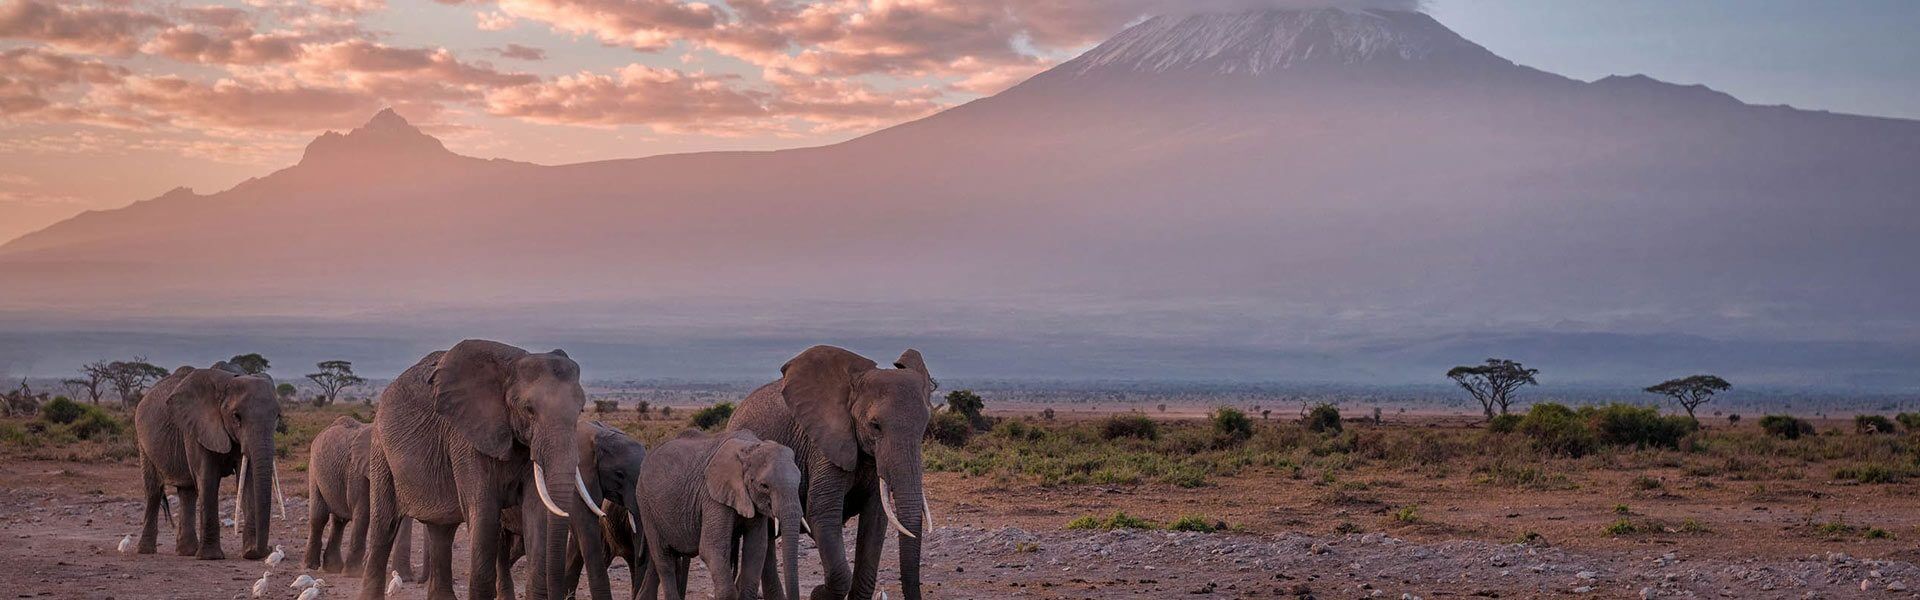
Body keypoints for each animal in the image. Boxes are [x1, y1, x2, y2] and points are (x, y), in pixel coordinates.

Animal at [134, 363, 280, 561]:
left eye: (277, 417)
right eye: (237, 416)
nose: (266, 550)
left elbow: (247, 481)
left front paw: (250, 553)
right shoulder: (197, 428)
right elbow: (208, 479)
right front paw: (211, 557)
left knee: (187, 492)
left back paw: (187, 552)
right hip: (143, 441)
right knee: (154, 491)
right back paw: (146, 551)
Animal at [303, 415, 416, 580]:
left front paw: (404, 577)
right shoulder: (359, 472)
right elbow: (363, 513)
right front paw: (353, 574)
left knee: (339, 522)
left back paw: (333, 568)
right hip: (314, 470)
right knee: (319, 517)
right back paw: (310, 566)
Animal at [357, 340, 602, 600]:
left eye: (581, 410)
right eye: (529, 409)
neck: (512, 365)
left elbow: (536, 510)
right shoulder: (467, 439)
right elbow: (484, 510)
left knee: (442, 531)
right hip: (380, 449)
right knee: (384, 526)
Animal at [637, 430, 802, 600]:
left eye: (799, 481)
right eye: (764, 486)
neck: (749, 447)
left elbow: (756, 547)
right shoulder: (712, 496)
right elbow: (711, 547)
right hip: (645, 504)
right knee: (664, 559)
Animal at [725, 346, 936, 600]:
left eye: (925, 426)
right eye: (875, 425)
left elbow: (875, 520)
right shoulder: (823, 445)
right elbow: (822, 514)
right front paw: (817, 594)